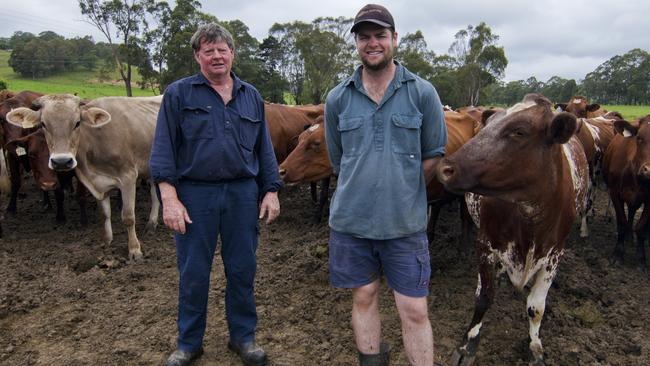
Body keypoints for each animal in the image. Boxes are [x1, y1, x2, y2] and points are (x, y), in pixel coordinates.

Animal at [6, 94, 162, 260]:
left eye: (77, 123)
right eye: (43, 124)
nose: (61, 161)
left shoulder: (128, 177)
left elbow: (128, 217)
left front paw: (134, 250)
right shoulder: (97, 183)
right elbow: (104, 214)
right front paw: (106, 242)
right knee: (155, 194)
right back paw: (151, 224)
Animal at [432, 93, 588, 364]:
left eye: (519, 132)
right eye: (491, 123)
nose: (445, 168)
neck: (530, 216)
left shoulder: (554, 255)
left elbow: (536, 307)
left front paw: (535, 346)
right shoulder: (485, 244)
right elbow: (483, 298)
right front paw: (468, 344)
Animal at [600, 114, 648, 268]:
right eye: (639, 138)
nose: (649, 170)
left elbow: (641, 229)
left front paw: (641, 259)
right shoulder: (614, 192)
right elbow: (621, 222)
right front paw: (617, 254)